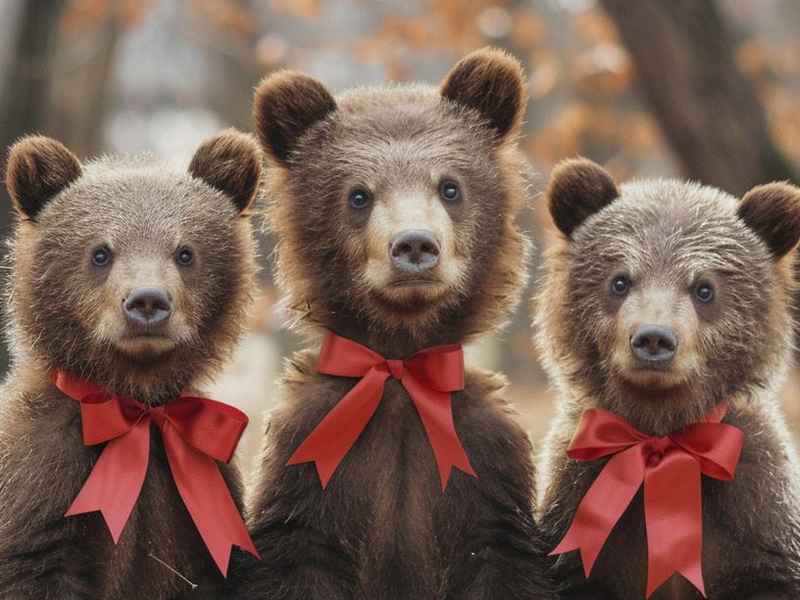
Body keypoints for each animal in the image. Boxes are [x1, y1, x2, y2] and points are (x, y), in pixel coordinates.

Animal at [0, 131, 262, 599]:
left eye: (185, 252)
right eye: (100, 253)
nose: (147, 302)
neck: (136, 398)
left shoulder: (192, 504)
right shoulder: (43, 477)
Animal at [230, 48, 555, 599]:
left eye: (450, 187)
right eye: (359, 195)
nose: (415, 245)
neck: (400, 364)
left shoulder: (484, 466)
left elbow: (501, 557)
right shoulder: (312, 461)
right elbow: (297, 557)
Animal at [534, 158, 800, 599]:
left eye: (704, 288)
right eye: (620, 281)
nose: (654, 338)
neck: (663, 426)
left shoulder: (754, 514)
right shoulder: (578, 504)